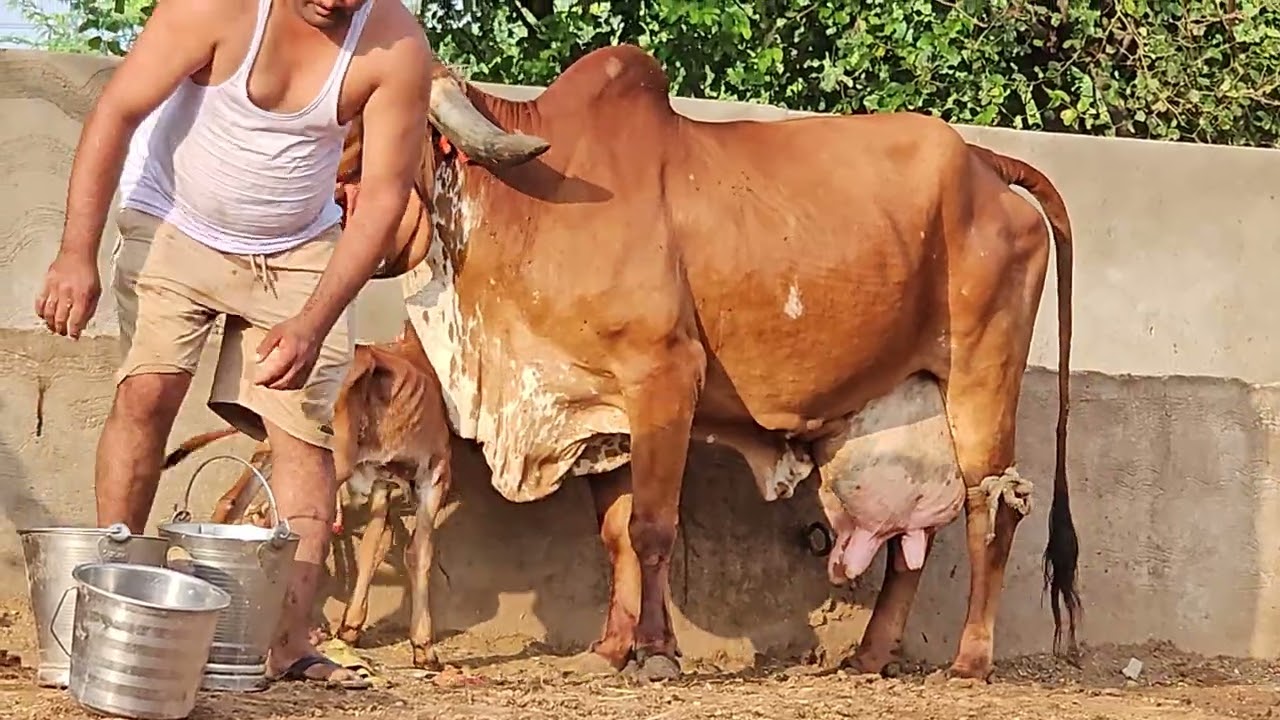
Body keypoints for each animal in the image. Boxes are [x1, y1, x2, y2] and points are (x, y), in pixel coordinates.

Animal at [161, 318, 456, 669]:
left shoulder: (382, 482)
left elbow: (374, 545)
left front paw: (351, 627)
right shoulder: (435, 474)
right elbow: (419, 553)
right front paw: (424, 648)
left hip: (277, 447)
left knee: (236, 503)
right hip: (330, 458)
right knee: (273, 516)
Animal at [334, 43, 1079, 682]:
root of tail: (984, 162)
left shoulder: (664, 377)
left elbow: (652, 529)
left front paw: (657, 654)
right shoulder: (601, 416)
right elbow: (617, 536)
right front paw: (611, 651)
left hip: (982, 381)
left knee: (994, 509)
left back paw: (971, 660)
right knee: (910, 538)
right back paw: (870, 657)